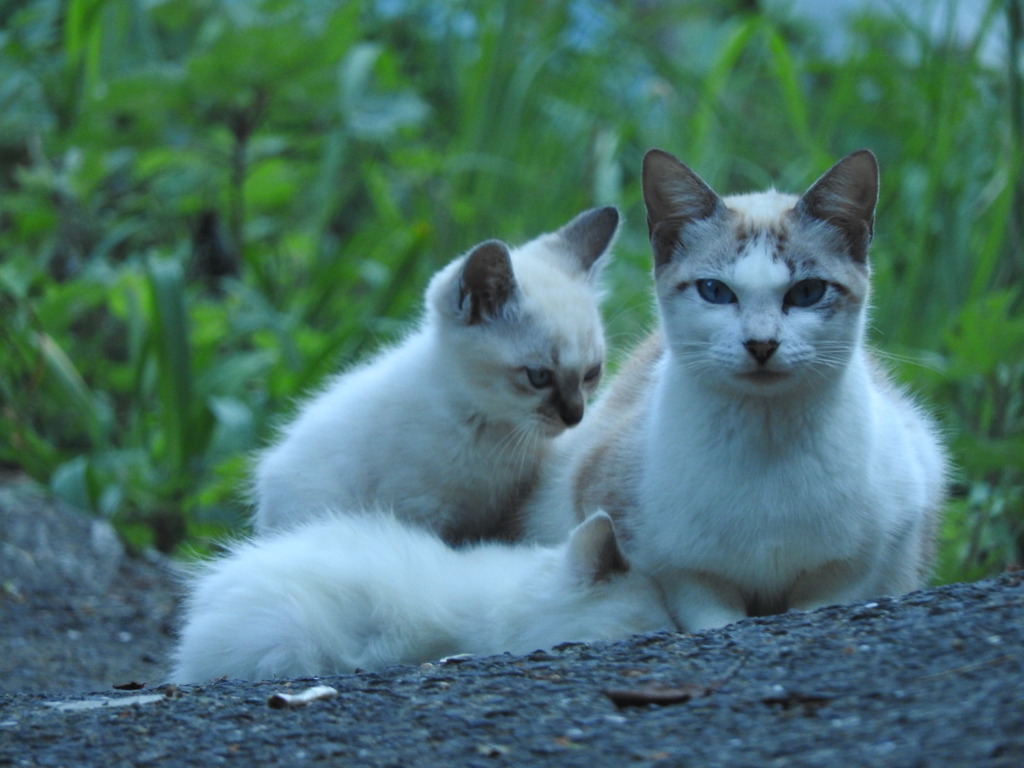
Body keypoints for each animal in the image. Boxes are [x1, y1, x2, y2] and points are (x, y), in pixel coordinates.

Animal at [251, 208, 618, 548]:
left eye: (591, 373)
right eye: (539, 376)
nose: (575, 416)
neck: (492, 429)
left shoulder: (502, 511)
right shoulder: (422, 512)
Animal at [524, 148, 946, 630]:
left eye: (807, 292)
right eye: (715, 291)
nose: (761, 344)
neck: (766, 443)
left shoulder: (863, 556)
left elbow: (824, 601)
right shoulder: (671, 564)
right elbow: (711, 614)